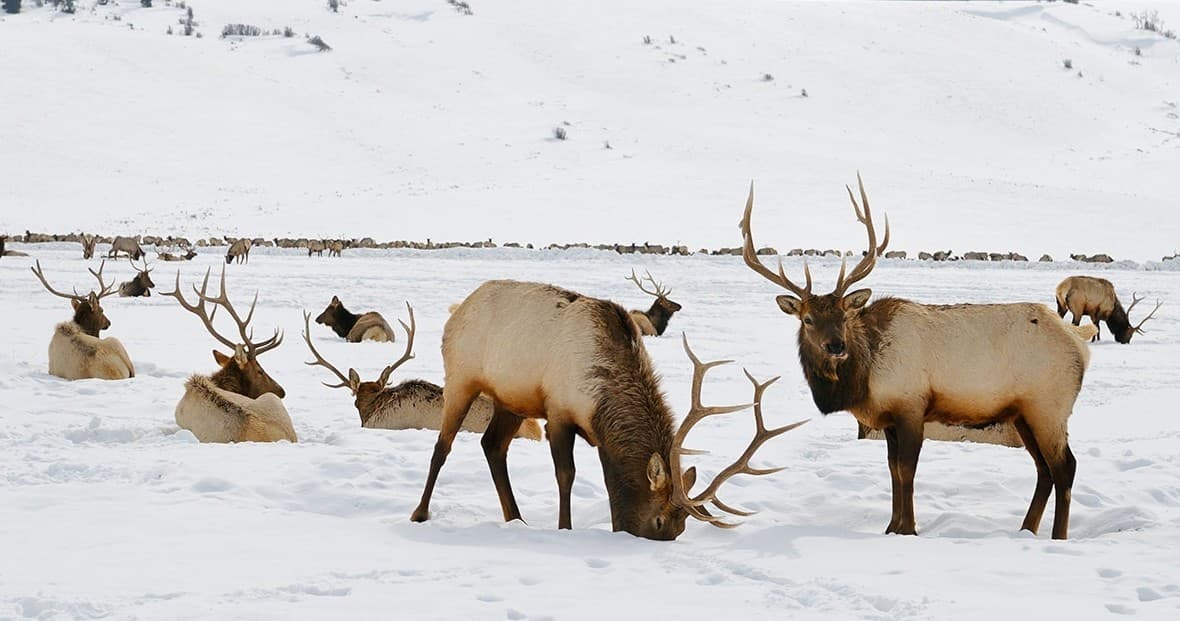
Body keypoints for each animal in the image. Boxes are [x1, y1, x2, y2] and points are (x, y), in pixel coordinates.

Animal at [409, 279, 807, 540]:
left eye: (681, 528)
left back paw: (515, 519)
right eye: (660, 521)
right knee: (442, 446)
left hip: (511, 400)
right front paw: (564, 528)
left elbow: (606, 478)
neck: (600, 393)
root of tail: (458, 308)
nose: (647, 540)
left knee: (492, 446)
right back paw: (420, 512)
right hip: (461, 378)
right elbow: (565, 475)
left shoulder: (597, 432)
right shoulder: (559, 412)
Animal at [740, 174, 1092, 540]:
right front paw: (891, 526)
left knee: (1065, 467)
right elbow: (892, 470)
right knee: (1044, 470)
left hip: (1049, 407)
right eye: (807, 319)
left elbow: (906, 471)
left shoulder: (911, 406)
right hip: (1023, 413)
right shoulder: (889, 420)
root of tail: (1080, 342)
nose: (836, 346)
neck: (863, 381)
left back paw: (1058, 535)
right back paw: (1026, 529)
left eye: (844, 316)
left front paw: (907, 529)